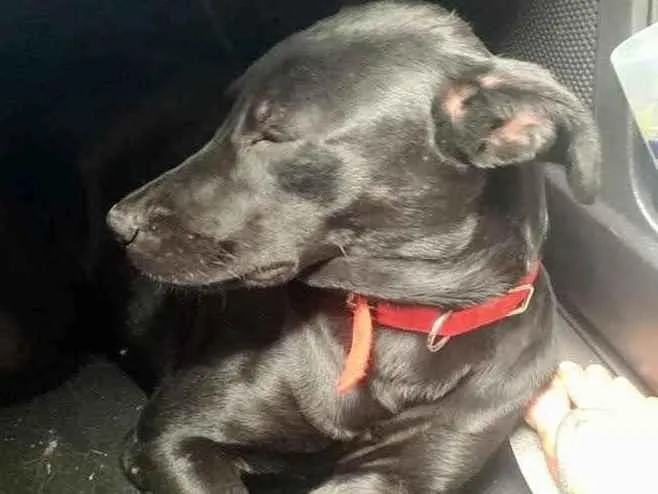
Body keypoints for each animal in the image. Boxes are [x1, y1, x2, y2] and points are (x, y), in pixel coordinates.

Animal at [107, 2, 600, 492]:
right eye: (221, 122)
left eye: (274, 134)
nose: (118, 224)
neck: (398, 317)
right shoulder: (171, 436)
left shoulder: (399, 471)